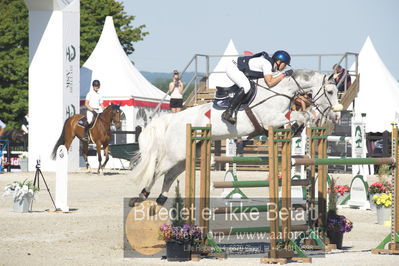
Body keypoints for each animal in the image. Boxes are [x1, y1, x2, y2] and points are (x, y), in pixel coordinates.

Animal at [129, 69, 344, 206]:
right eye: (330, 91)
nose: (336, 116)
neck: (280, 91)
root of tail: (172, 119)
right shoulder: (272, 118)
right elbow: (302, 115)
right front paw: (298, 126)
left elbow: (301, 116)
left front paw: (297, 128)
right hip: (174, 153)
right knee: (157, 171)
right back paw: (139, 197)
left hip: (187, 154)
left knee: (170, 175)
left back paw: (160, 199)